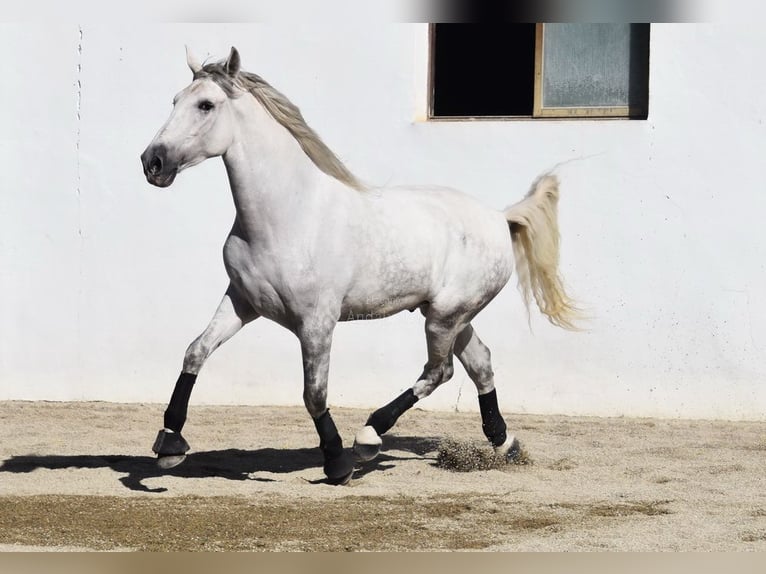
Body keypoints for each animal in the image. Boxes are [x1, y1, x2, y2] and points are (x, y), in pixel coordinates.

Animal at [140, 46, 578, 485]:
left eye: (206, 105)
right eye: (175, 101)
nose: (152, 162)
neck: (289, 214)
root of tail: (499, 218)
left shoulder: (317, 321)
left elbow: (314, 394)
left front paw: (337, 462)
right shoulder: (242, 303)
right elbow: (195, 352)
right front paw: (169, 445)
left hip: (445, 317)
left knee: (440, 371)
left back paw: (369, 436)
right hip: (451, 316)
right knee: (480, 364)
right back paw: (505, 444)